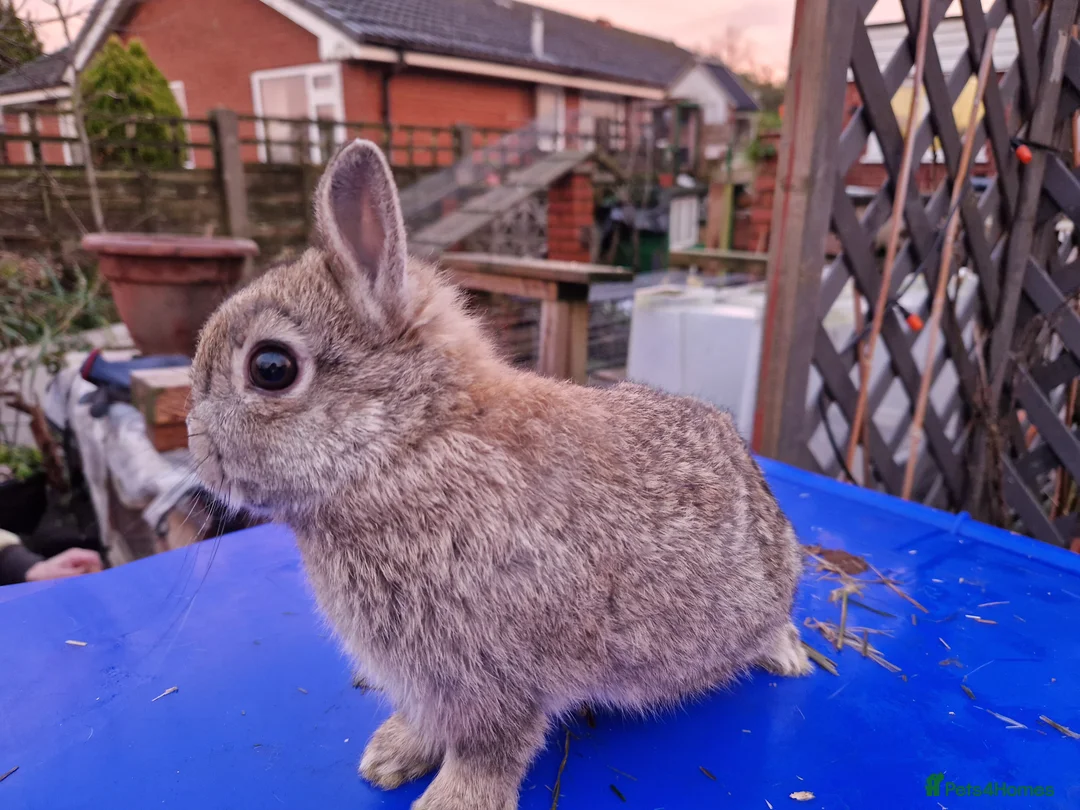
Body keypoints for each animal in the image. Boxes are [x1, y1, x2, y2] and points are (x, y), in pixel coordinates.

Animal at [187, 139, 811, 810]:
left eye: (271, 368)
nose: (196, 443)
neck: (410, 444)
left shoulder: (499, 678)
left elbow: (491, 748)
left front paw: (451, 801)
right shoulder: (435, 681)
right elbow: (431, 724)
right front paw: (391, 757)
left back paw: (788, 659)